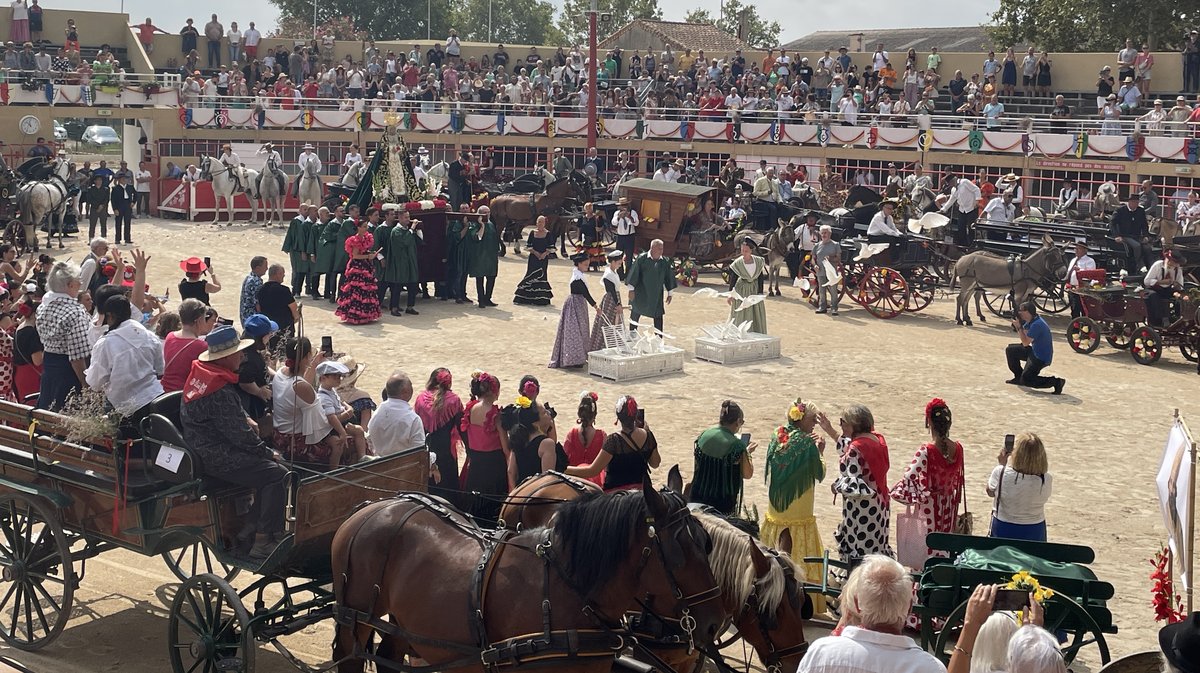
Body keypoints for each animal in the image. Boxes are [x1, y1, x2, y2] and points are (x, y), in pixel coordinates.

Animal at [331, 477, 720, 671]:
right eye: (679, 551)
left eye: (707, 542)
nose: (716, 622)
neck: (566, 592)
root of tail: (368, 508)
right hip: (355, 617)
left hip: (401, 620)